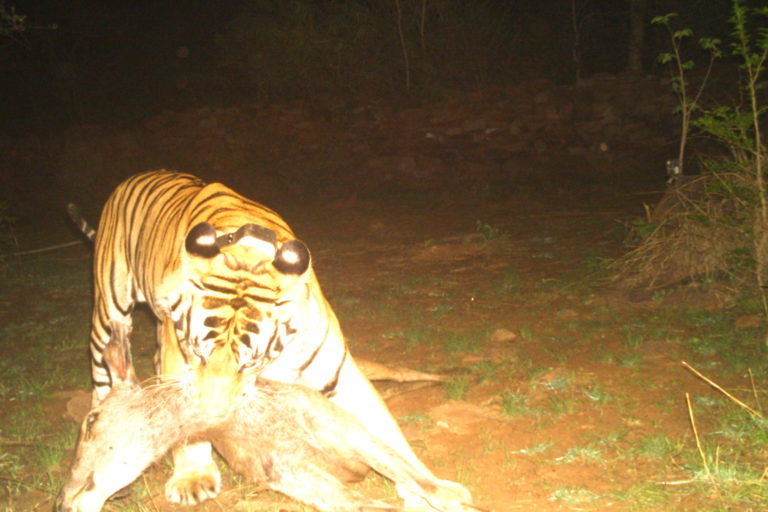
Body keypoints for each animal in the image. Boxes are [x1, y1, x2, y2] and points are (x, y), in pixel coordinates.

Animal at [70, 169, 468, 508]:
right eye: (198, 353)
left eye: (250, 363)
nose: (214, 413)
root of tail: (140, 176)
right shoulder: (178, 360)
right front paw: (193, 477)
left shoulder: (339, 375)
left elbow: (388, 437)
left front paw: (430, 488)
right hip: (109, 310)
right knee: (105, 369)